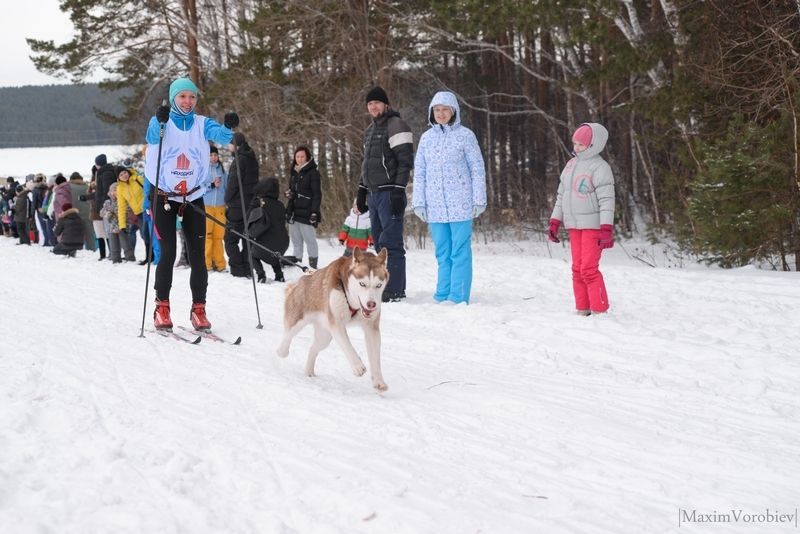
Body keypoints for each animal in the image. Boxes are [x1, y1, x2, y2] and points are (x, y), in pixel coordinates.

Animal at [276, 249, 390, 392]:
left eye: (378, 285)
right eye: (362, 284)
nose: (371, 304)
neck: (352, 302)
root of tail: (300, 281)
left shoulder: (371, 329)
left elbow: (375, 358)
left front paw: (379, 381)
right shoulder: (336, 323)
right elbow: (347, 345)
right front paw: (357, 366)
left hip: (324, 336)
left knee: (313, 348)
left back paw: (309, 371)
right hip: (298, 320)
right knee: (287, 335)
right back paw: (282, 351)